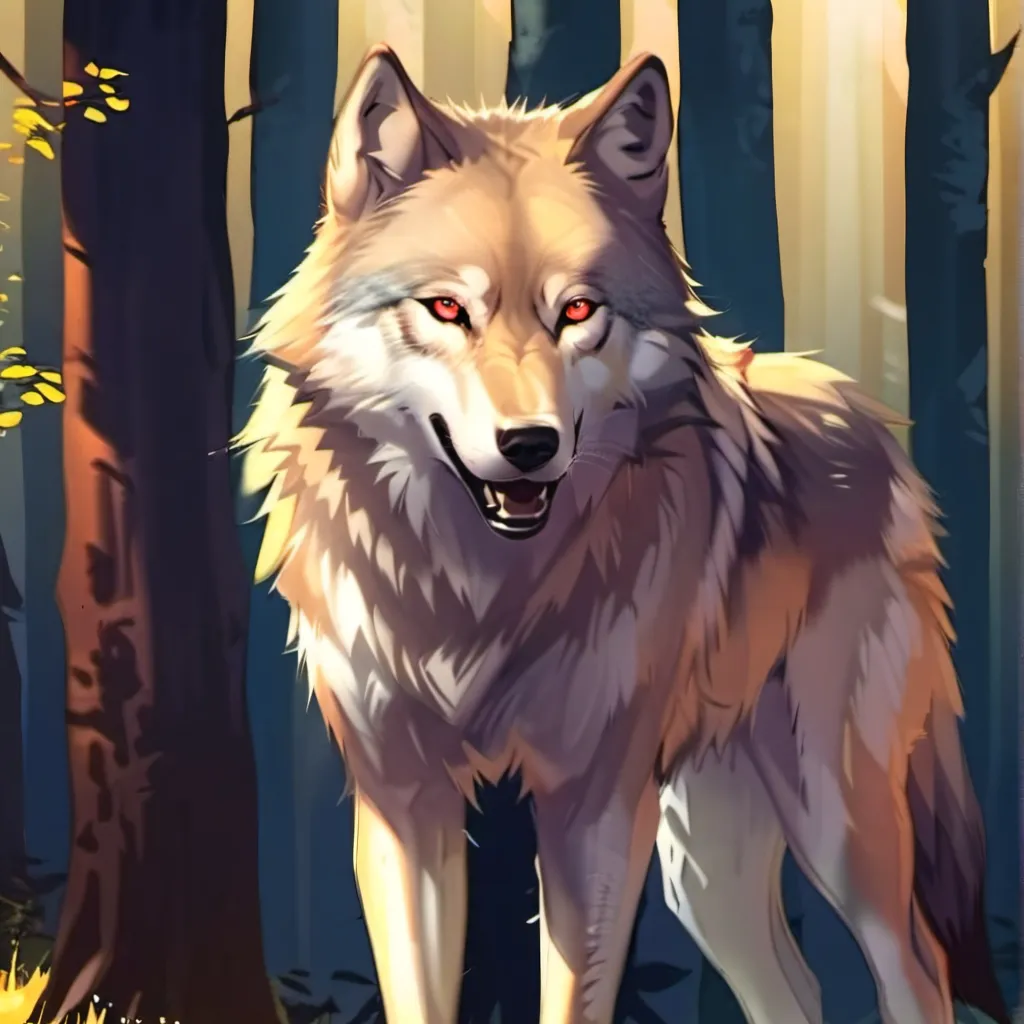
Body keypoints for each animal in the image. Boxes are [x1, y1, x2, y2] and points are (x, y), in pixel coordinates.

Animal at [236, 45, 1008, 1024]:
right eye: (447, 309)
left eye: (577, 312)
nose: (530, 445)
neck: (475, 594)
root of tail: (864, 413)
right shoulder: (402, 802)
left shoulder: (593, 805)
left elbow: (572, 996)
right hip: (705, 865)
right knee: (794, 985)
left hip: (835, 821)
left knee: (916, 971)